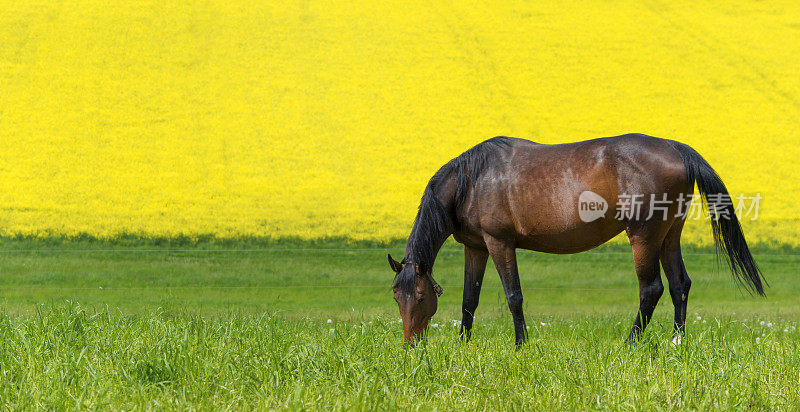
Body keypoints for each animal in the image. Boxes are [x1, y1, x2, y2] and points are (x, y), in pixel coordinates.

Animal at [388, 134, 764, 344]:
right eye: (396, 297)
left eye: (420, 297)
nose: (410, 346)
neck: (472, 179)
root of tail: (675, 147)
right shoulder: (476, 247)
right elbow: (469, 299)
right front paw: (464, 345)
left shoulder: (499, 243)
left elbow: (513, 296)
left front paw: (521, 345)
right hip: (669, 234)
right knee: (679, 285)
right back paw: (676, 342)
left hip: (644, 236)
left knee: (651, 289)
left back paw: (630, 344)